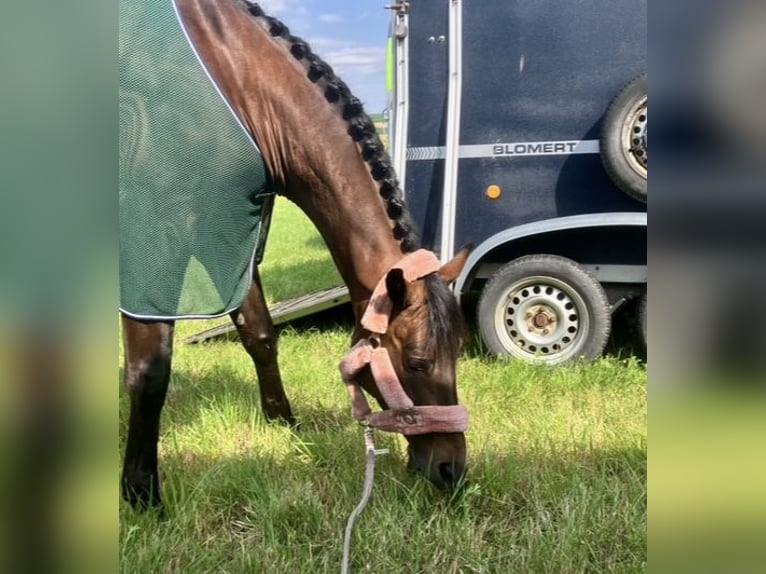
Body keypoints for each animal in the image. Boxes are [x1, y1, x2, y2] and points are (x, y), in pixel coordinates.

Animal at [119, 0, 472, 509]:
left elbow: (261, 336)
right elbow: (149, 373)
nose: (452, 469)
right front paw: (140, 491)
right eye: (417, 362)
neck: (238, 83)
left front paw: (283, 423)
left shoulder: (234, 237)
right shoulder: (156, 246)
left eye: (459, 352)